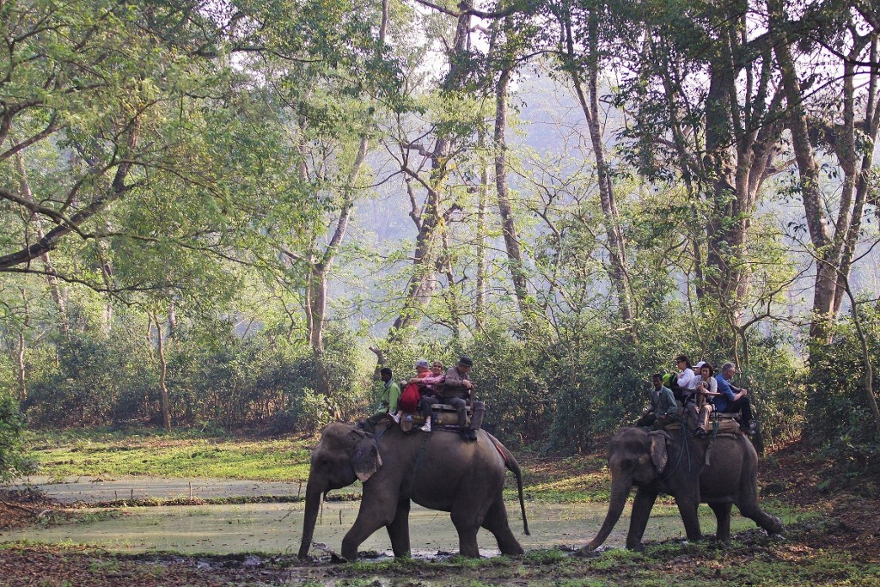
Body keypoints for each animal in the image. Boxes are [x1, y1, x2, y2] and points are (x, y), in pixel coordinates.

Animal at [300, 420, 528, 564]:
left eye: (324, 462)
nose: (306, 558)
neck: (363, 432)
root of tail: (499, 447)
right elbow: (396, 515)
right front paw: (403, 558)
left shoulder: (387, 466)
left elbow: (380, 511)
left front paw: (347, 559)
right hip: (489, 478)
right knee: (497, 521)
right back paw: (516, 554)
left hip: (477, 476)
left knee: (464, 520)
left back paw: (467, 559)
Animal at [580, 424, 780, 552]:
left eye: (628, 464)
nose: (580, 550)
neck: (653, 433)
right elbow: (642, 503)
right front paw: (635, 548)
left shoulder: (685, 465)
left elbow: (687, 501)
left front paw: (697, 543)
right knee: (721, 508)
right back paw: (722, 543)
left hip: (748, 464)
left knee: (747, 506)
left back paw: (778, 527)